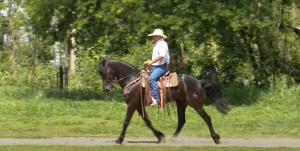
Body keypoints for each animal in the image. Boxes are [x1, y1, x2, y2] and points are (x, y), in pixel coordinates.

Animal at [97, 58, 229, 145]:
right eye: (100, 73)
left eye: (103, 71)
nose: (106, 89)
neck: (132, 79)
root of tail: (199, 81)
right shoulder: (139, 105)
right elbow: (147, 121)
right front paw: (160, 136)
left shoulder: (132, 104)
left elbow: (126, 122)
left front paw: (119, 140)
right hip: (181, 103)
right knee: (181, 121)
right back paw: (173, 138)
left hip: (195, 103)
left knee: (207, 118)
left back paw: (216, 138)